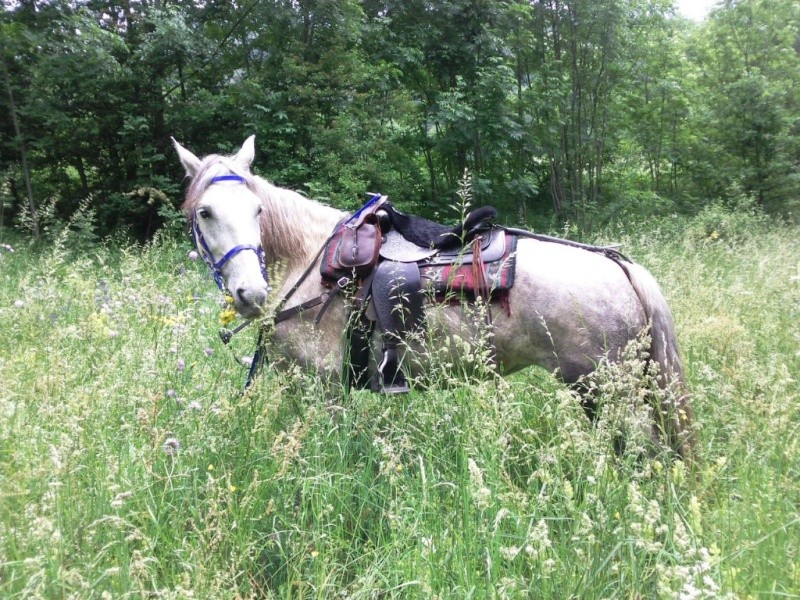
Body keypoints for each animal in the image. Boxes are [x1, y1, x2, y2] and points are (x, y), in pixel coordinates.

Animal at [173, 136, 692, 460]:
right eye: (205, 212)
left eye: (258, 210)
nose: (251, 293)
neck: (309, 263)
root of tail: (619, 266)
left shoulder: (325, 387)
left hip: (609, 390)